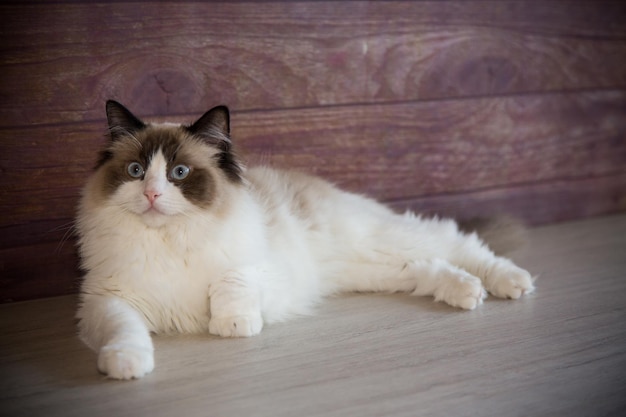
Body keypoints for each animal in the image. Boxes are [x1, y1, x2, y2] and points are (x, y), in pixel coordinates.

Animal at [73, 99, 532, 378]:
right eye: (135, 172)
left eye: (178, 174)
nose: (151, 194)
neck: (169, 240)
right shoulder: (110, 300)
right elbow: (125, 332)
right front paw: (126, 365)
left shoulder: (257, 268)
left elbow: (230, 282)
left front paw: (233, 326)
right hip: (372, 268)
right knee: (428, 268)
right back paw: (467, 292)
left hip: (384, 239)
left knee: (458, 241)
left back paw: (511, 283)